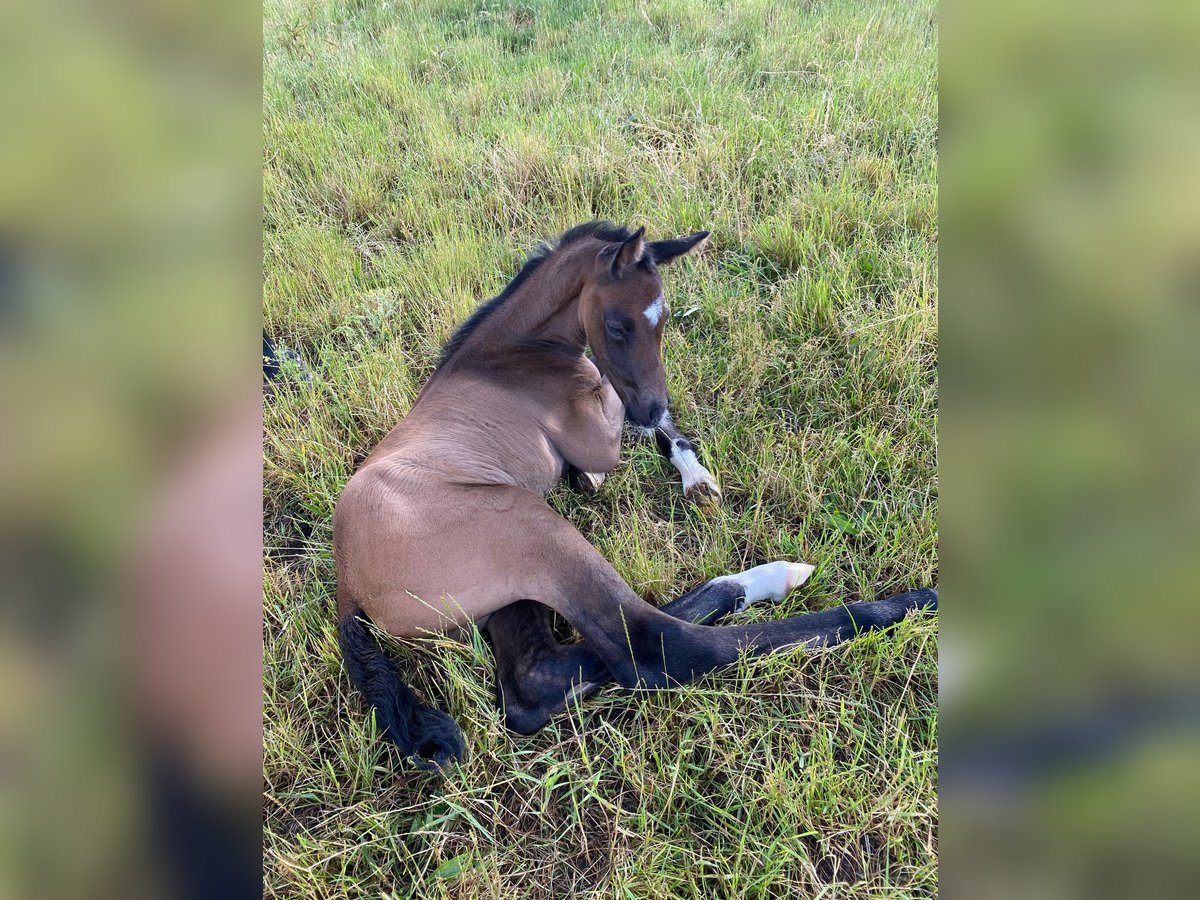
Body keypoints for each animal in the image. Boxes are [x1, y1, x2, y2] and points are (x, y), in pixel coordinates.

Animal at [331, 222, 936, 772]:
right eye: (618, 325)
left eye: (664, 321)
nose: (652, 404)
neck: (509, 355)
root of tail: (347, 585)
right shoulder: (599, 431)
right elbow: (624, 421)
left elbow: (660, 431)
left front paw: (694, 477)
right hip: (525, 521)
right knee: (653, 647)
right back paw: (853, 593)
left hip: (510, 584)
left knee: (537, 681)